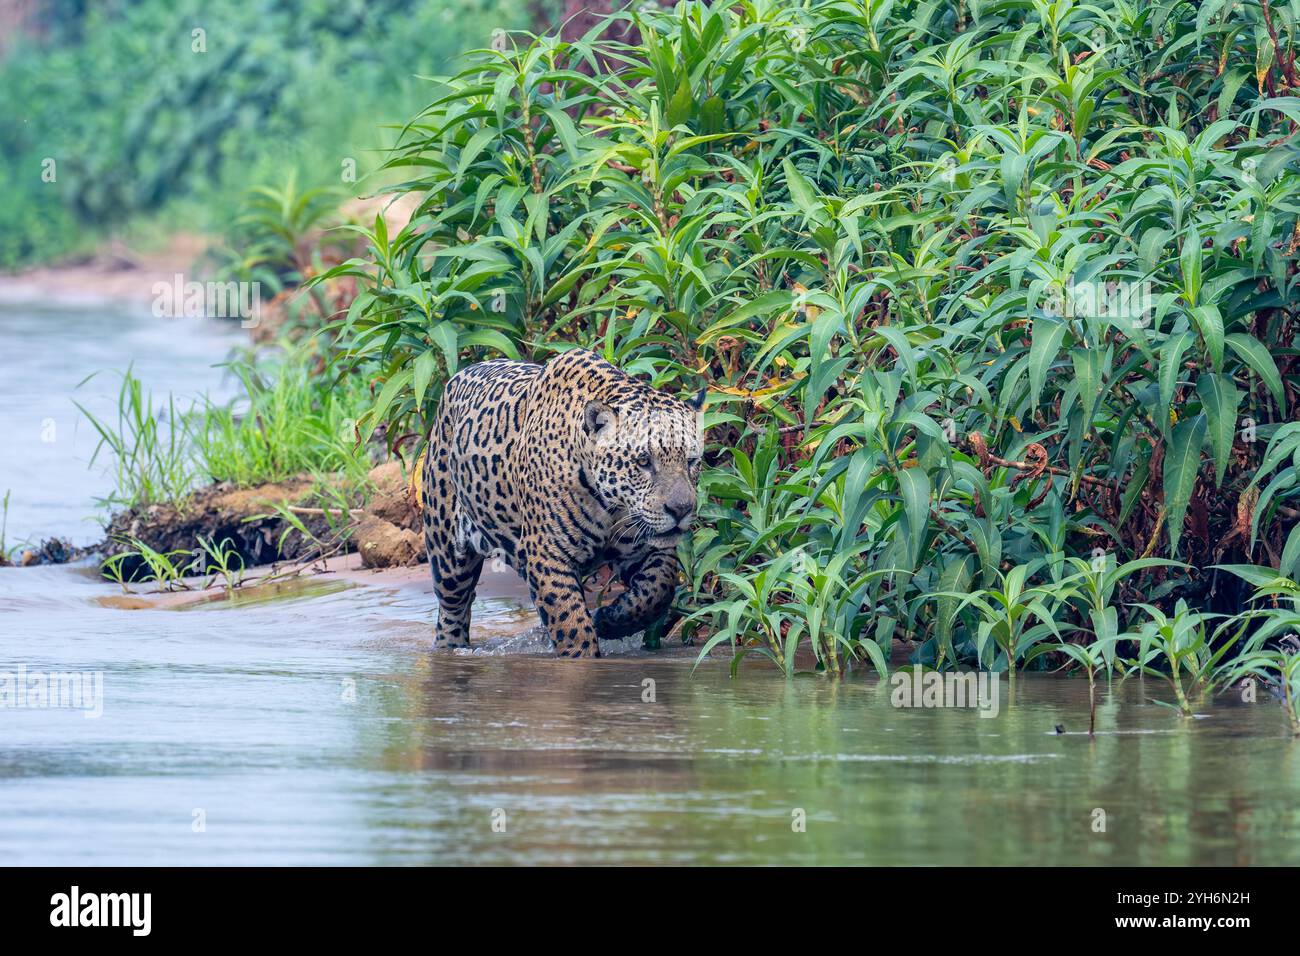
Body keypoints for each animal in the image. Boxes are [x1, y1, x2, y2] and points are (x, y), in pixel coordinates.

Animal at [420, 348, 705, 658]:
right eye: (643, 461)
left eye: (692, 461)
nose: (681, 509)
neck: (612, 506)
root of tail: (459, 375)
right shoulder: (548, 555)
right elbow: (571, 624)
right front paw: (582, 658)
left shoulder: (649, 547)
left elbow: (658, 588)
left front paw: (609, 620)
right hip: (447, 552)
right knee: (452, 609)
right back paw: (449, 650)